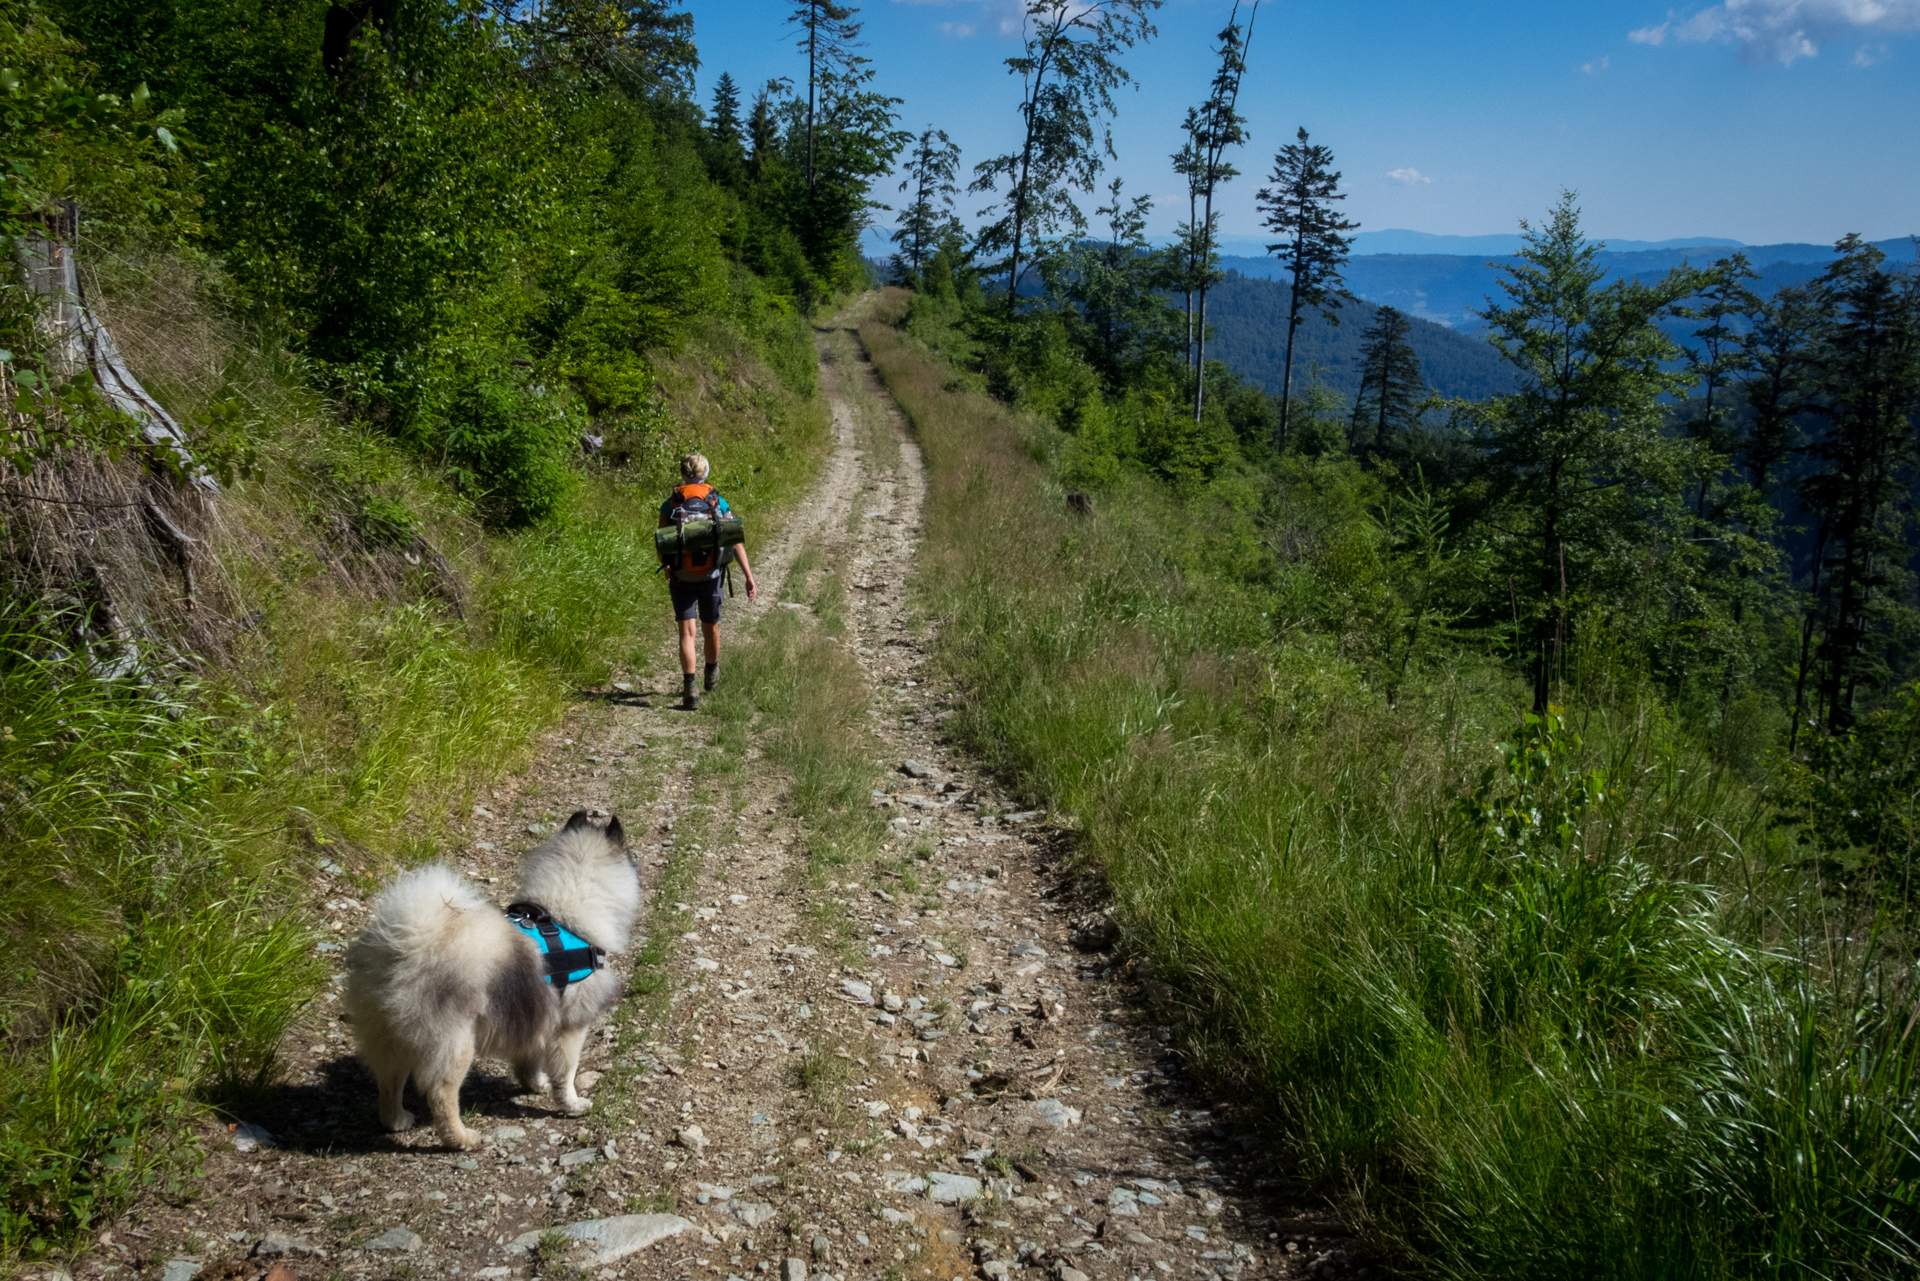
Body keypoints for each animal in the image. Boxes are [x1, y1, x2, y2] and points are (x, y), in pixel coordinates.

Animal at [343, 810, 637, 1152]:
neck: (564, 917)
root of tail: (406, 945)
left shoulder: (534, 1014)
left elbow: (529, 1062)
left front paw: (535, 1085)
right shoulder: (570, 1026)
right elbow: (566, 1072)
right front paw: (572, 1104)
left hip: (390, 1037)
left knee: (389, 1081)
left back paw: (397, 1120)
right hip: (454, 1042)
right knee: (440, 1093)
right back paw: (461, 1139)